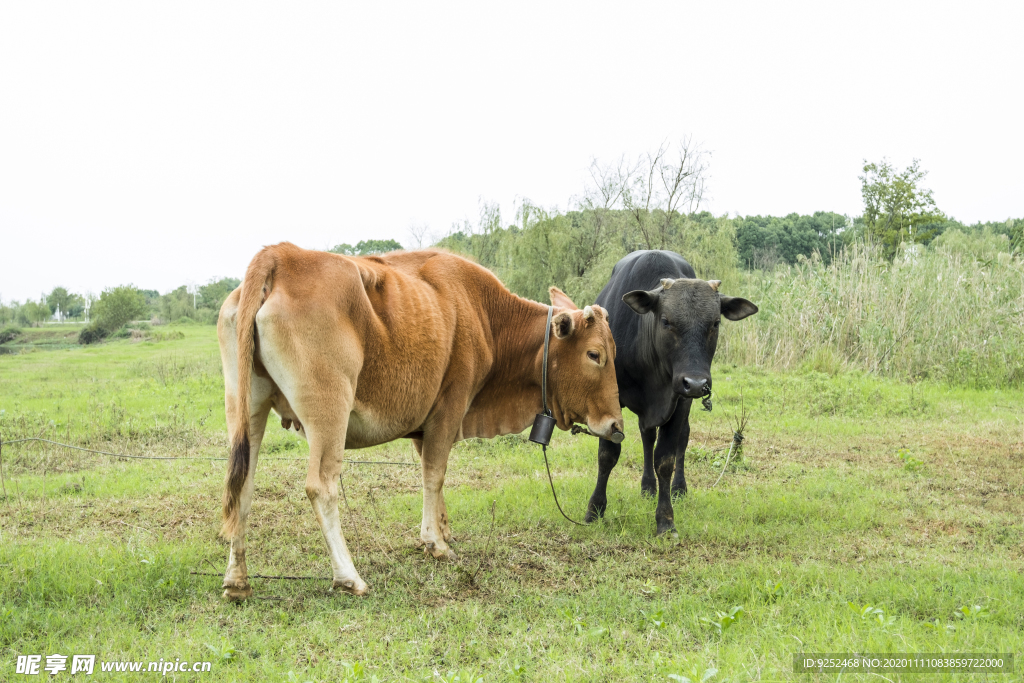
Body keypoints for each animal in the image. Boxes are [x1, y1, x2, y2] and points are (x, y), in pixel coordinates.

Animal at [218, 244, 622, 598]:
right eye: (594, 354)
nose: (616, 426)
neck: (485, 315)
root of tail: (283, 255)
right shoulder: (449, 409)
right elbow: (435, 474)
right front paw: (436, 543)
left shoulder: (423, 425)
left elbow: (434, 477)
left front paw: (443, 531)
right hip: (328, 412)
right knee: (321, 486)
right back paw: (349, 577)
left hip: (246, 408)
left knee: (242, 484)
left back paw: (237, 581)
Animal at [581, 248, 757, 536]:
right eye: (665, 321)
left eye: (715, 323)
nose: (695, 383)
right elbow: (607, 455)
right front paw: (595, 509)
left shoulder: (678, 401)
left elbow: (665, 459)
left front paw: (665, 520)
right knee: (646, 437)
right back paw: (647, 486)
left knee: (680, 440)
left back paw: (678, 488)